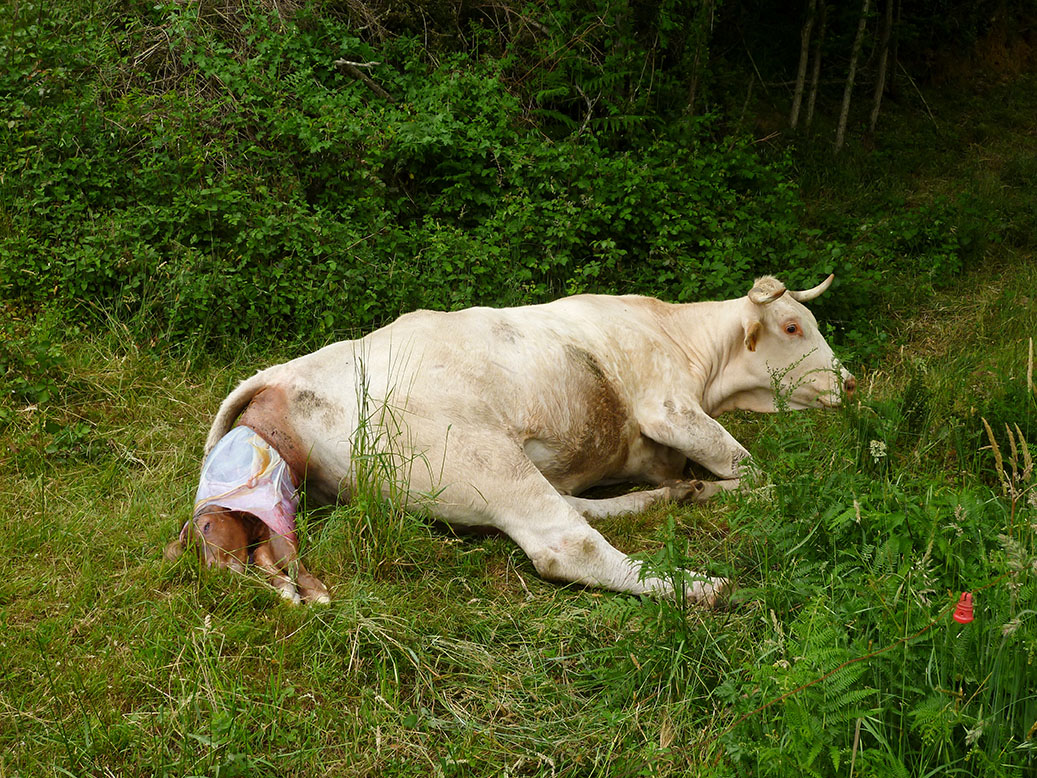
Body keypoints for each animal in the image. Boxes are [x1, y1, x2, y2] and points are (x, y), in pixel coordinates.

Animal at [165, 278, 854, 605]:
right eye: (793, 326)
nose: (849, 382)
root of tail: (283, 375)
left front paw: (689, 488)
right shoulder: (669, 408)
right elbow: (756, 474)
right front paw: (735, 493)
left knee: (577, 511)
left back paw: (673, 501)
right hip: (483, 455)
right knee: (567, 544)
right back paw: (699, 588)